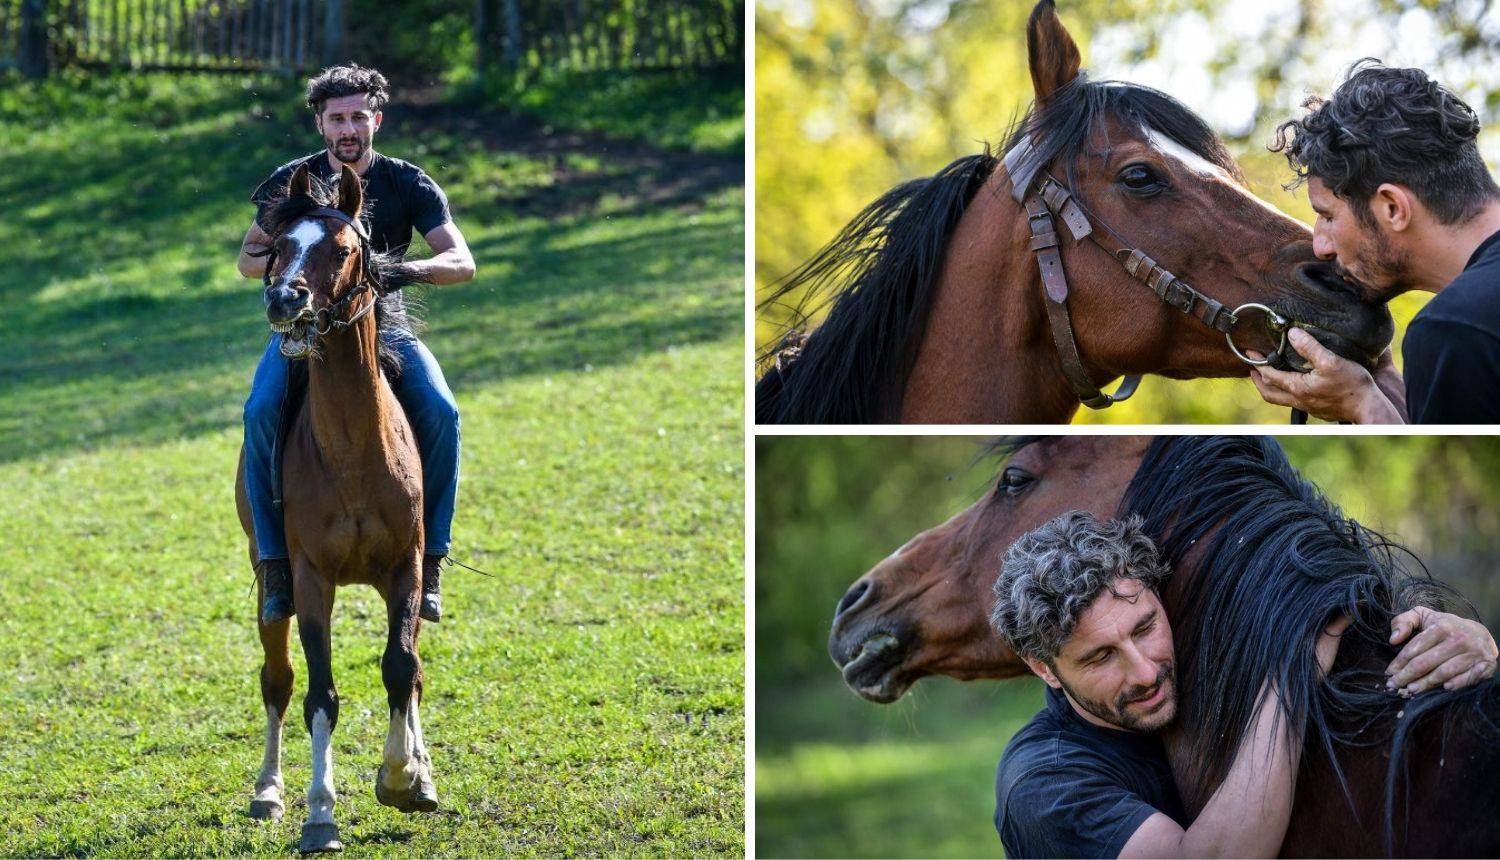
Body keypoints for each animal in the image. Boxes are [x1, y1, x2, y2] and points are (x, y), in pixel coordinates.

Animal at [232, 162, 435, 852]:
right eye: (276, 247)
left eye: (344, 250)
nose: (283, 300)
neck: (350, 449)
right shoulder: (313, 579)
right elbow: (319, 692)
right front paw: (320, 813)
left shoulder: (405, 565)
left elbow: (400, 668)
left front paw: (404, 779)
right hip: (270, 576)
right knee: (278, 679)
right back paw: (269, 792)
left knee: (413, 669)